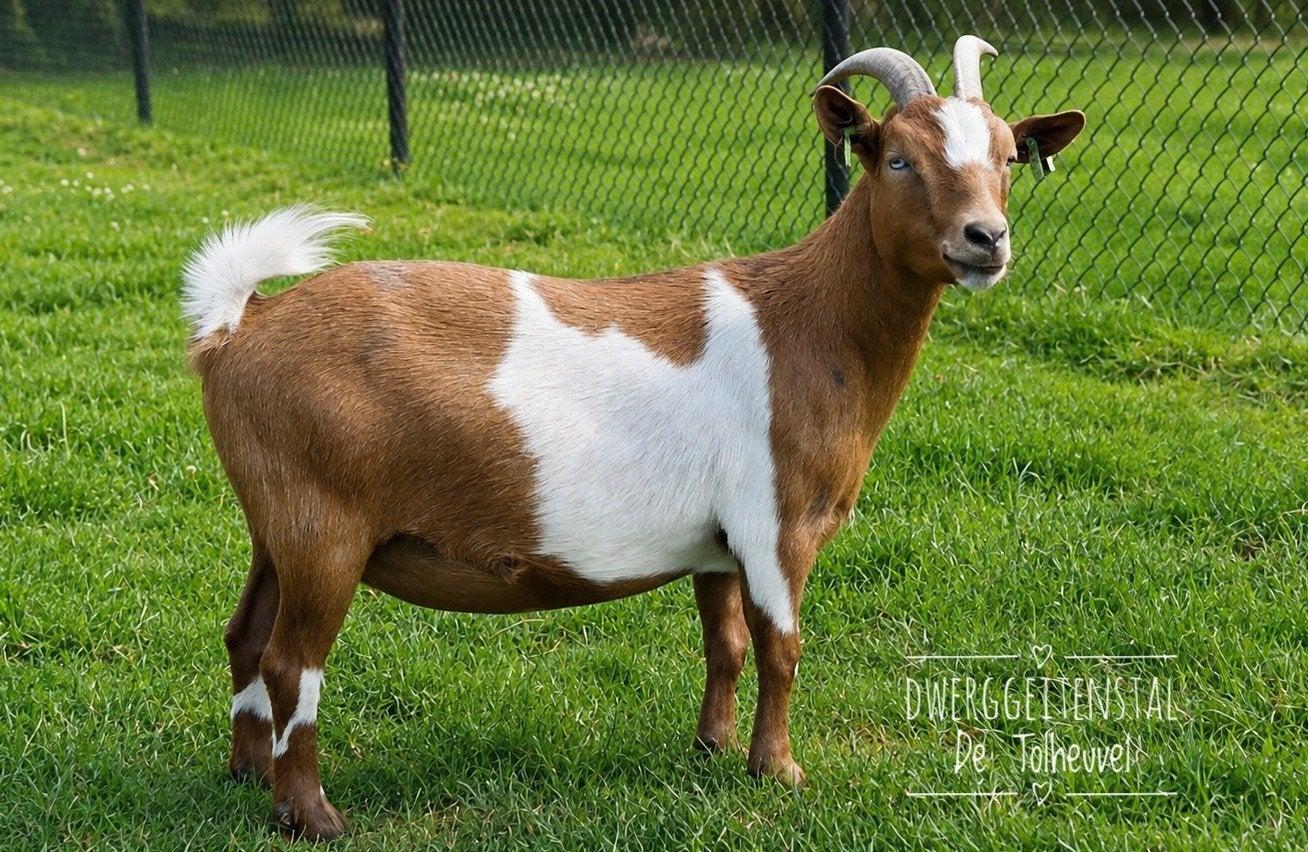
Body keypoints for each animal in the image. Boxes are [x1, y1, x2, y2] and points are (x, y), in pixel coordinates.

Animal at [184, 36, 1084, 840]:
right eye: (896, 158)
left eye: (1008, 156)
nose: (986, 239)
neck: (809, 322)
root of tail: (240, 325)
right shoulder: (777, 523)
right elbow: (781, 646)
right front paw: (780, 772)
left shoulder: (718, 542)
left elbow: (725, 643)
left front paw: (714, 749)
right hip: (323, 526)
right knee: (292, 664)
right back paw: (311, 815)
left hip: (275, 524)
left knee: (245, 635)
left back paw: (247, 774)